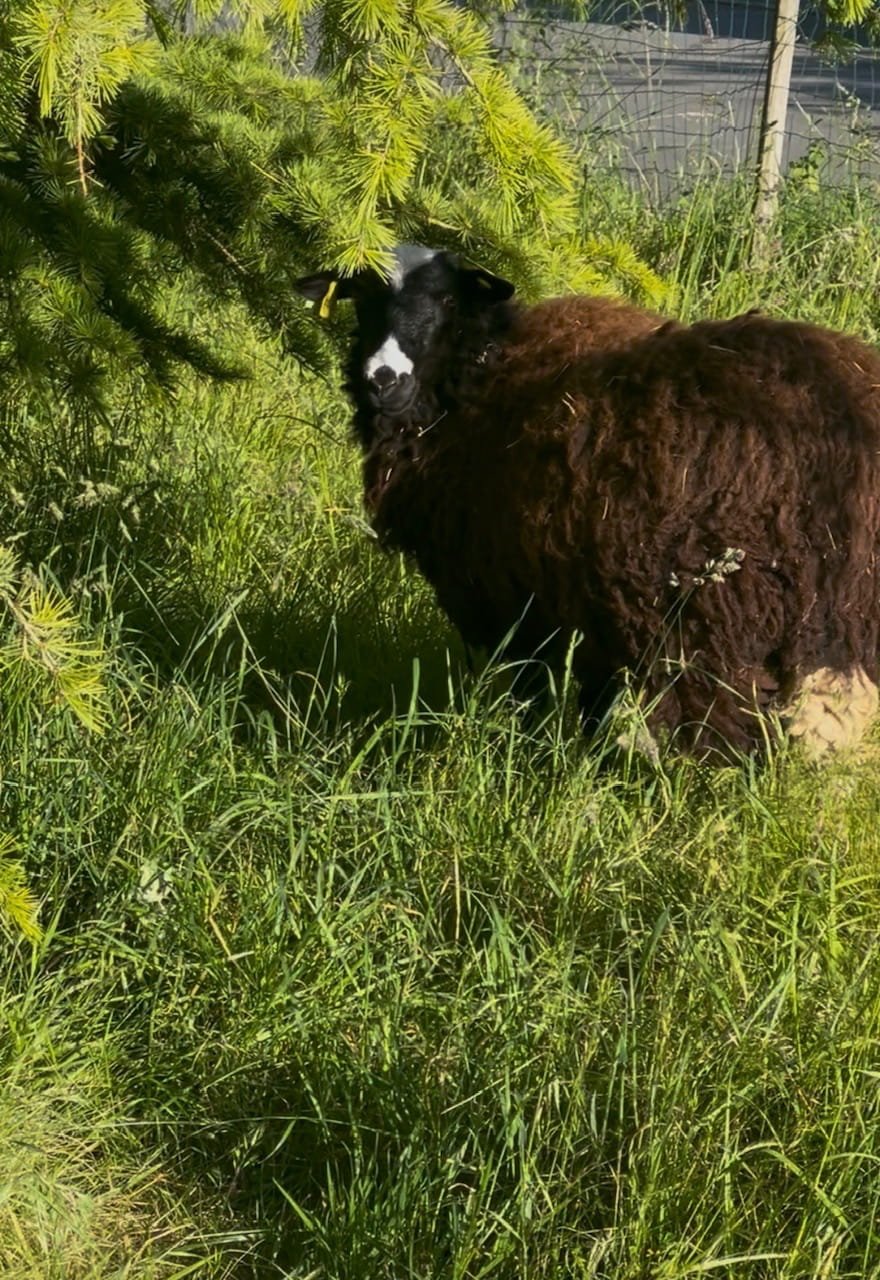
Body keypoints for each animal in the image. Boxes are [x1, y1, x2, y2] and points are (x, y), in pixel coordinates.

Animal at [295, 245, 880, 759]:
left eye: (447, 300)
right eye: (362, 297)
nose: (383, 378)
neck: (475, 383)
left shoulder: (509, 594)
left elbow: (531, 693)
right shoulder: (576, 596)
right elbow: (591, 700)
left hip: (721, 606)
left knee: (729, 715)